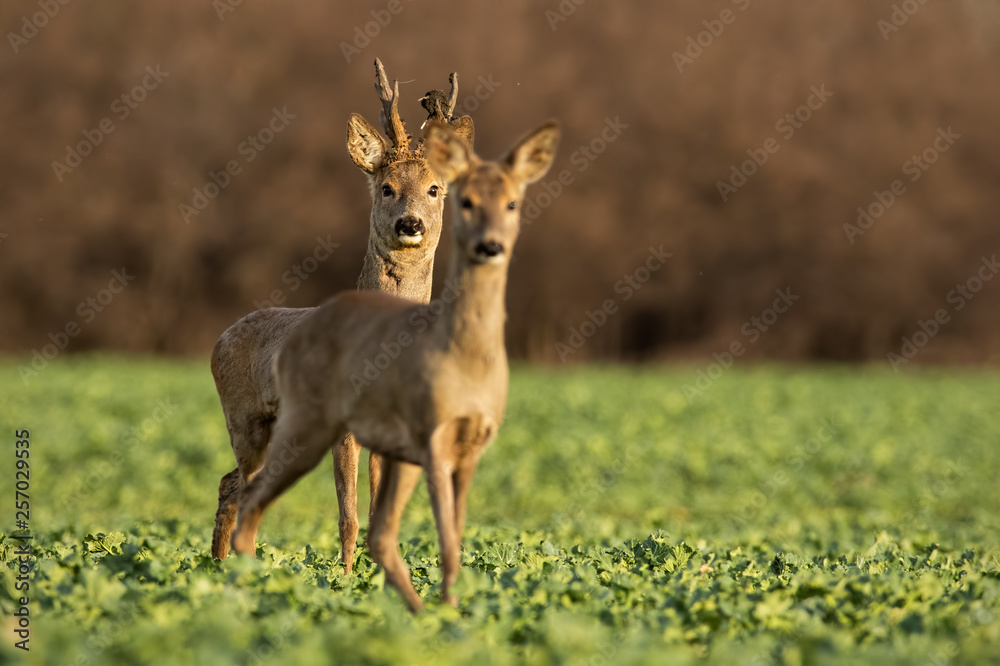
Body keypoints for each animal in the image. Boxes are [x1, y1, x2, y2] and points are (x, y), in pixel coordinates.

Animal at [210, 59, 474, 569]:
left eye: (435, 189)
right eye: (387, 188)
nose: (410, 223)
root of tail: (220, 337)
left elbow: (377, 515)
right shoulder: (342, 422)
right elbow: (348, 516)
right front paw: (346, 578)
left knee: (235, 486)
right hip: (244, 416)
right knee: (238, 487)